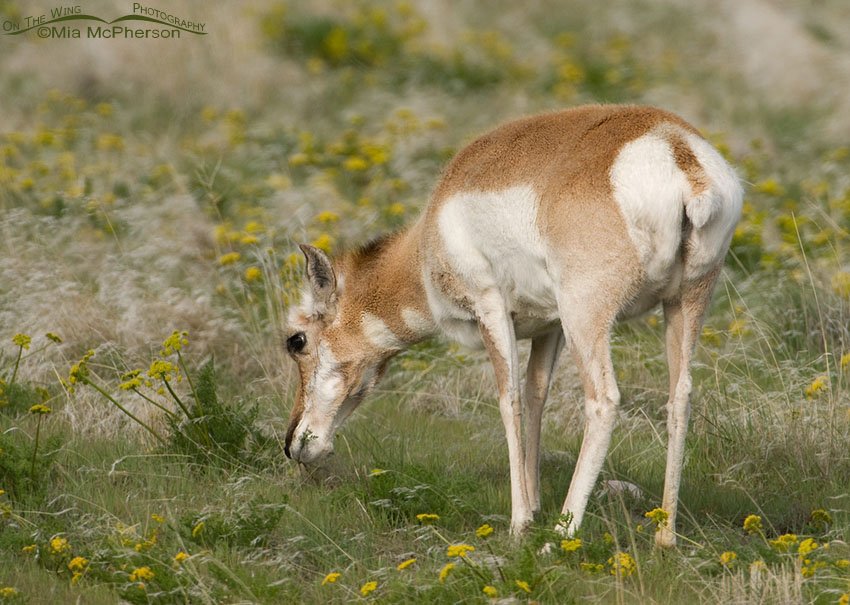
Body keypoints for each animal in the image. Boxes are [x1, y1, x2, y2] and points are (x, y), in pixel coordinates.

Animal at [283, 105, 742, 546]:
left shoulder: (491, 309)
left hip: (587, 316)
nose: (292, 446)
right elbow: (536, 396)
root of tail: (674, 148)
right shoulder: (549, 329)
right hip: (684, 303)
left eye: (296, 340)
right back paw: (666, 537)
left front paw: (521, 523)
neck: (427, 239)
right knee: (680, 397)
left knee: (604, 401)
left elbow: (510, 401)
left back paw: (561, 534)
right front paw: (534, 504)